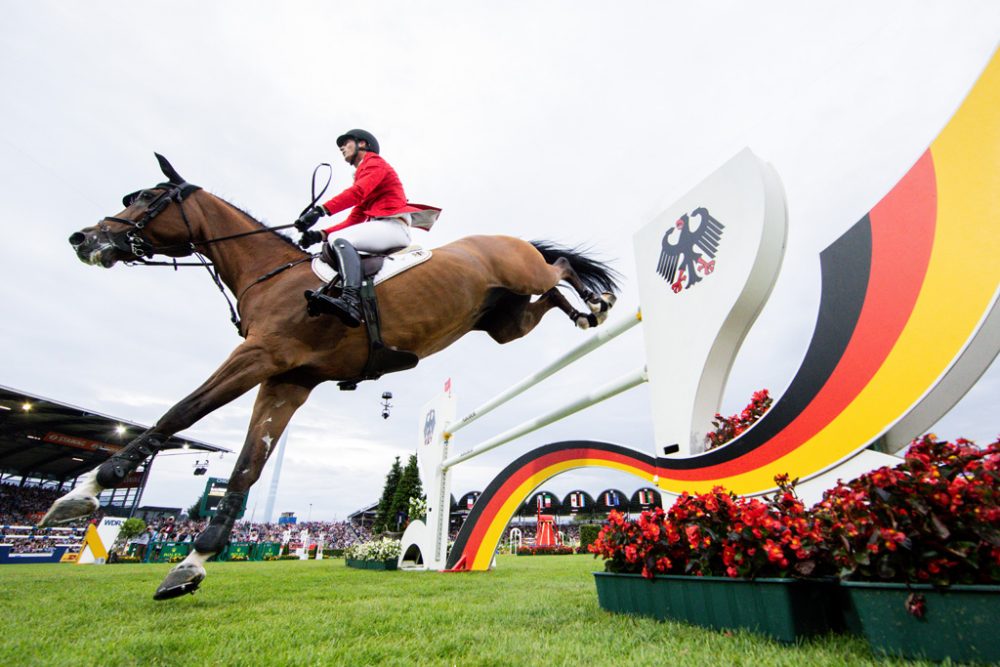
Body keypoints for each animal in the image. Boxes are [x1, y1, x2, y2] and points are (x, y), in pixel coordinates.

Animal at [45, 155, 616, 600]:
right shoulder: (287, 380)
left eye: (146, 199)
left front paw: (86, 490)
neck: (268, 276)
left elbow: (181, 411)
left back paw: (598, 300)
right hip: (505, 323)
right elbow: (247, 468)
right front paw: (191, 565)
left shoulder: (258, 357)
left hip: (522, 273)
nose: (82, 238)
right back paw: (583, 314)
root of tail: (510, 239)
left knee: (560, 268)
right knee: (549, 293)